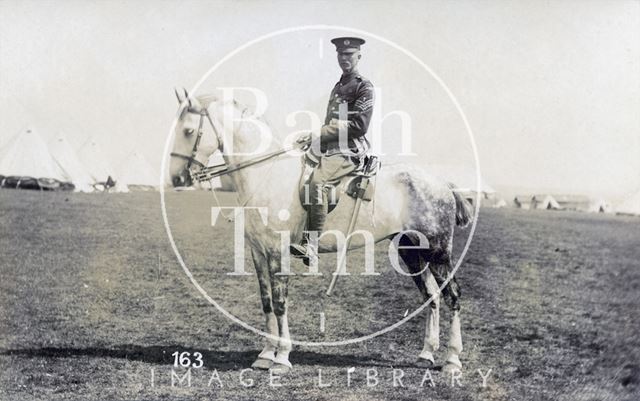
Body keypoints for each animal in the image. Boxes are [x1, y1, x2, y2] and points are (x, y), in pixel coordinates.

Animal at [168, 93, 472, 372]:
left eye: (188, 131)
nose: (176, 178)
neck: (267, 175)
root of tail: (443, 184)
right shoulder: (258, 252)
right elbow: (266, 301)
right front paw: (265, 355)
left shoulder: (278, 251)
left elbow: (280, 302)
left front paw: (281, 358)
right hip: (410, 250)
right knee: (431, 296)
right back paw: (426, 353)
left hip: (437, 252)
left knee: (453, 296)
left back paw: (452, 360)